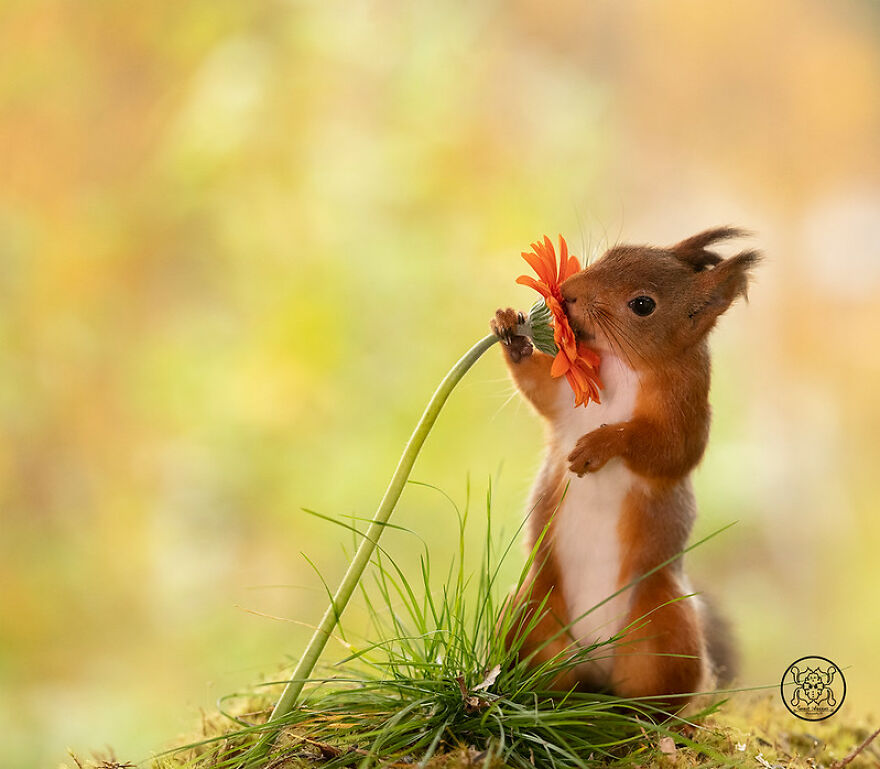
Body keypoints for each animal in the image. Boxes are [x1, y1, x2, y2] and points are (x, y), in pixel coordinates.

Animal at [491, 227, 759, 708]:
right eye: (612, 253)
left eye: (643, 305)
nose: (568, 294)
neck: (620, 364)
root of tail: (596, 662)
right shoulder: (564, 400)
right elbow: (540, 389)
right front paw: (511, 330)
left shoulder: (688, 407)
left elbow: (671, 450)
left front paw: (600, 444)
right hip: (531, 610)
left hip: (665, 630)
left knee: (661, 693)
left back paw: (646, 716)